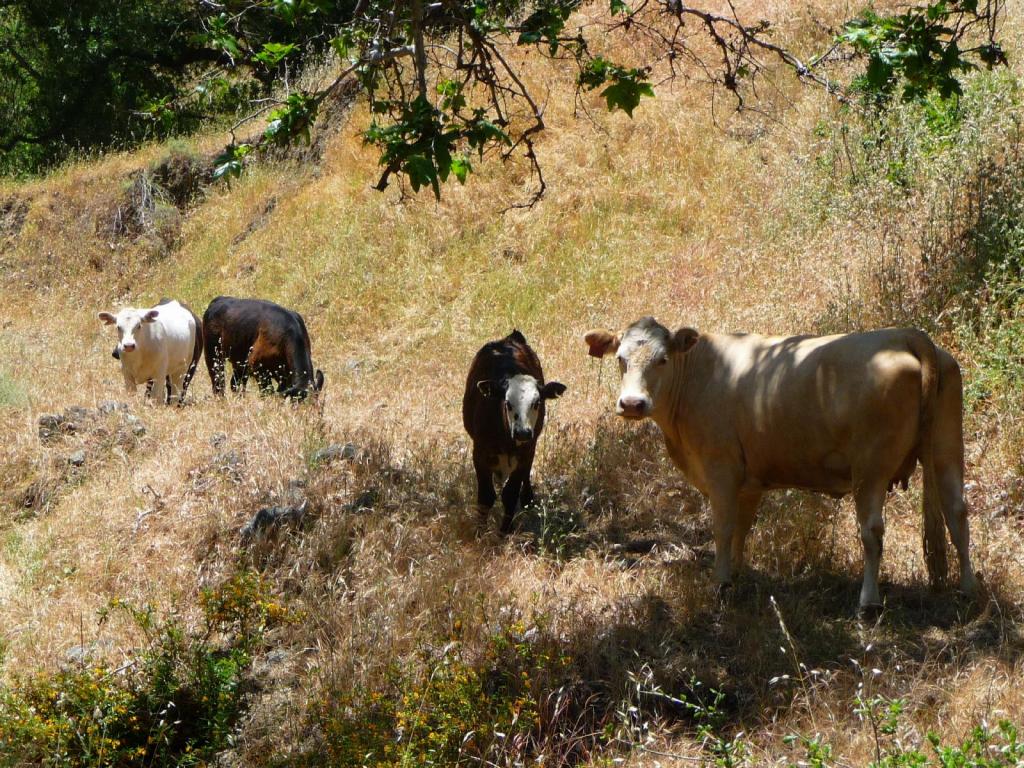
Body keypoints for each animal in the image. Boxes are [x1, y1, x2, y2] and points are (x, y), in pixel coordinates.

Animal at [464, 331, 569, 536]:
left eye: (537, 403)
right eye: (507, 403)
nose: (522, 433)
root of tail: (510, 338)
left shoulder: (526, 453)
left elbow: (510, 494)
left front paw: (504, 531)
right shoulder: (479, 453)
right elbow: (485, 497)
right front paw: (479, 532)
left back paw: (528, 498)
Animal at [585, 315, 974, 610]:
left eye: (662, 359)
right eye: (620, 359)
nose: (632, 403)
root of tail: (905, 334)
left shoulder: (720, 468)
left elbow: (723, 527)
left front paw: (720, 583)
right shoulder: (749, 480)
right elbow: (742, 528)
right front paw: (737, 575)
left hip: (871, 466)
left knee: (872, 530)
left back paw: (868, 601)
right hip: (946, 449)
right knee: (957, 514)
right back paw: (969, 588)